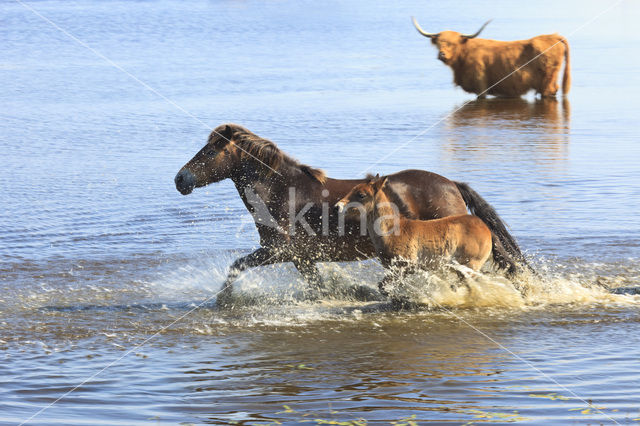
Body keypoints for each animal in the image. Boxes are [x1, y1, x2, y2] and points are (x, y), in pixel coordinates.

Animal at [175, 123, 524, 296]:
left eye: (210, 150)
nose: (180, 179)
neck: (282, 192)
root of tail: (451, 183)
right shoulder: (303, 259)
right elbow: (319, 285)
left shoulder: (281, 252)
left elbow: (236, 267)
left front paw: (224, 299)